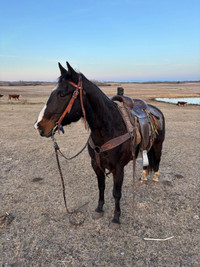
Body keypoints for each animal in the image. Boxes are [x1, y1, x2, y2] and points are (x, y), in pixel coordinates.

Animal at [34, 62, 165, 224]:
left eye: (62, 94)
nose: (39, 126)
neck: (108, 128)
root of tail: (156, 110)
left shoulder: (118, 168)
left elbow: (116, 193)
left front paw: (116, 217)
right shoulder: (96, 165)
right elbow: (101, 186)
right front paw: (99, 208)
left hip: (158, 146)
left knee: (157, 161)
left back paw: (155, 180)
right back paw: (144, 178)